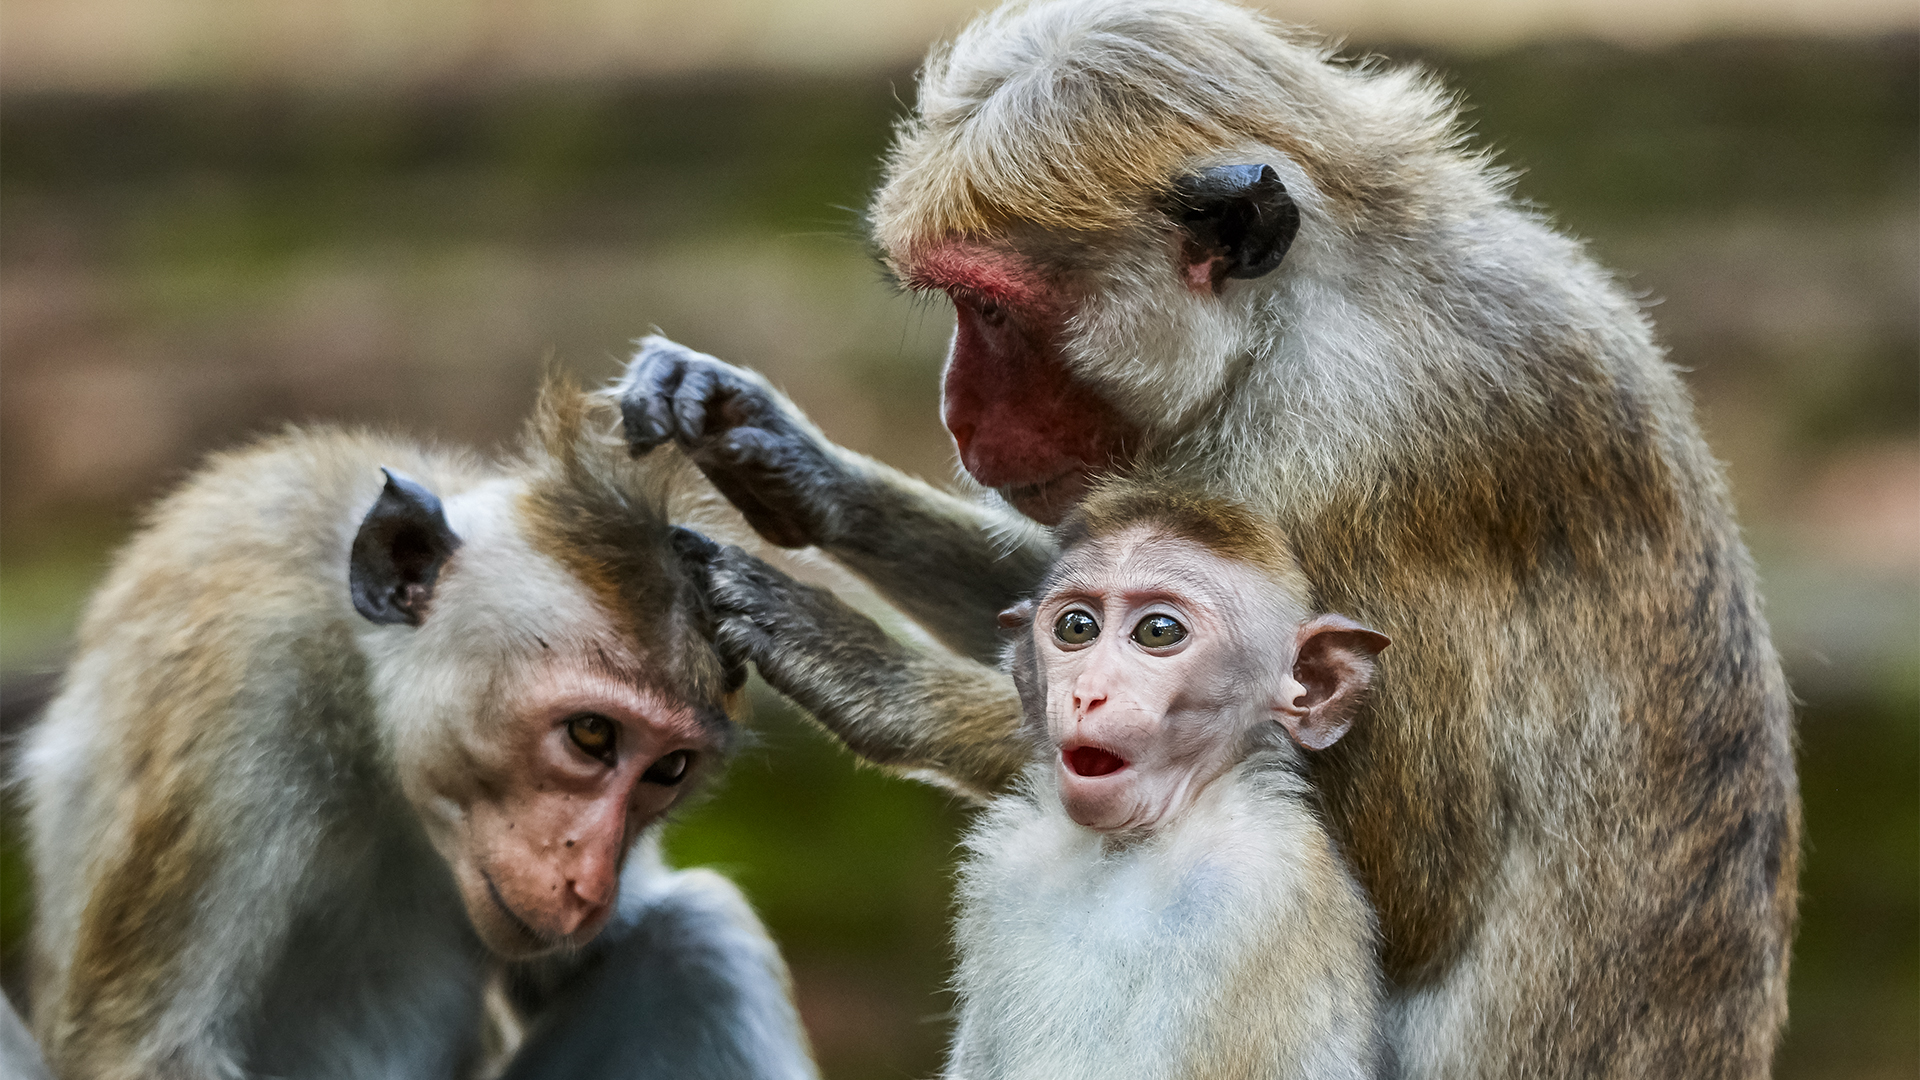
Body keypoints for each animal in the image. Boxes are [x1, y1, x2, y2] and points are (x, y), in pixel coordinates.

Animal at [18, 384, 819, 1080]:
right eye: (591, 735)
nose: (591, 885)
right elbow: (146, 1052)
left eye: (668, 770)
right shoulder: (248, 696)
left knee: (699, 940)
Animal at [618, 0, 1800, 1075]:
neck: (1300, 312)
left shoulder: (1339, 460)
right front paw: (785, 459)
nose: (955, 409)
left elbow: (1408, 887)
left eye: (992, 310)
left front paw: (862, 669)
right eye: (956, 305)